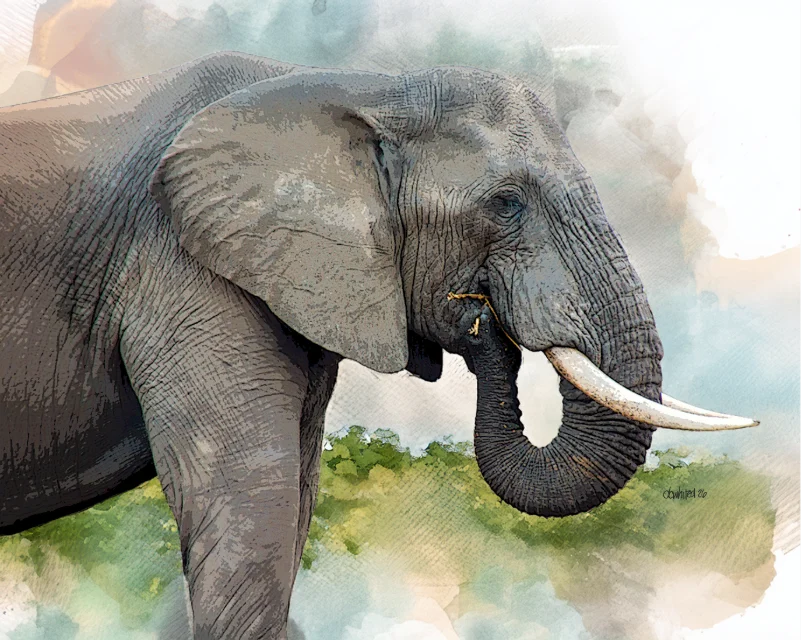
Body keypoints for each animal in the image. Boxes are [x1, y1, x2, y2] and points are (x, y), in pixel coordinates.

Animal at [0, 51, 757, 639]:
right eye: (506, 203)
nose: (478, 313)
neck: (368, 90)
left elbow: (295, 500)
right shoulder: (179, 268)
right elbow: (252, 502)